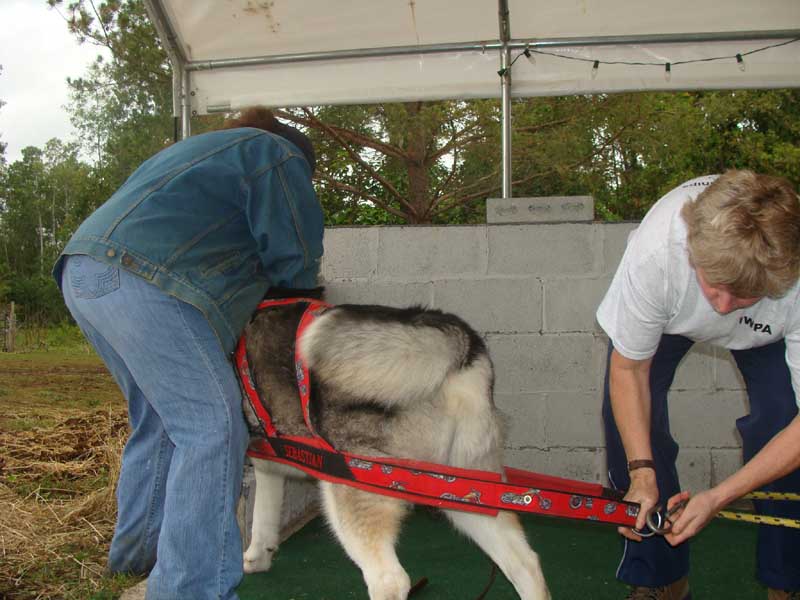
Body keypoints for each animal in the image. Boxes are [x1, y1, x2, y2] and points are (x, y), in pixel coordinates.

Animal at [239, 294, 552, 600]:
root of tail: (457, 341)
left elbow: (258, 511)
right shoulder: (268, 460)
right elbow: (265, 510)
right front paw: (260, 555)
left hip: (354, 487)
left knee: (390, 581)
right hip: (466, 489)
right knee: (526, 563)